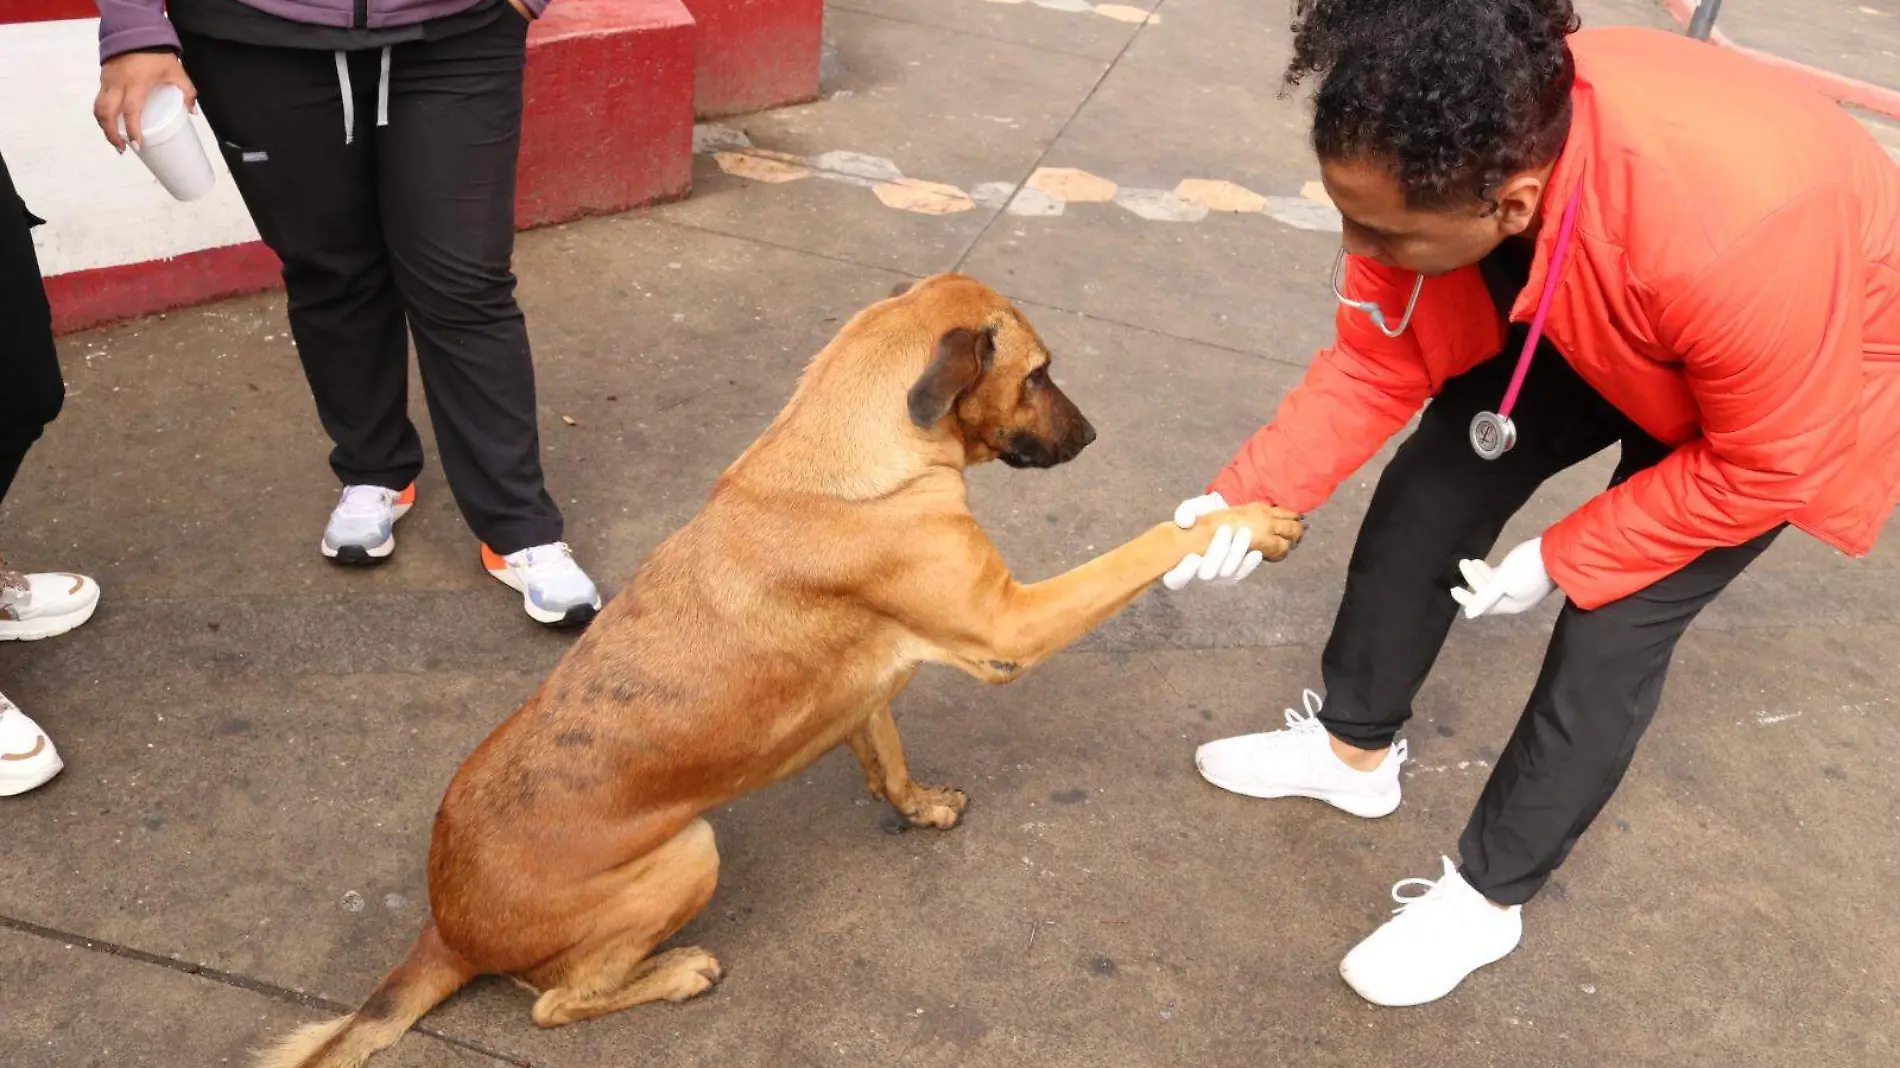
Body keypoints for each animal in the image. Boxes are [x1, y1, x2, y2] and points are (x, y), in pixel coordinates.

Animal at [260, 269, 1299, 1056]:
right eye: (1041, 374)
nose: (1091, 437)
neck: (858, 451)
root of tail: (444, 925)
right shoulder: (1009, 626)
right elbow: (1148, 545)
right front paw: (1244, 523)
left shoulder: (872, 685)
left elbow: (887, 759)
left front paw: (919, 806)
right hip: (689, 852)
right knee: (557, 1002)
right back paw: (677, 972)